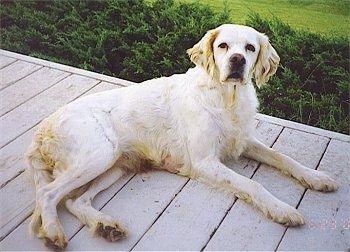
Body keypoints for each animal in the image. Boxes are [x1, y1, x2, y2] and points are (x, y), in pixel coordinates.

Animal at [26, 24, 338, 250]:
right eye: (223, 46)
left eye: (250, 47)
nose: (237, 61)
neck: (226, 99)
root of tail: (40, 132)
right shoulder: (204, 161)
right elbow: (252, 184)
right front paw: (282, 209)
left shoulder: (243, 140)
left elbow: (283, 157)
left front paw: (316, 177)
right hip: (100, 154)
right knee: (48, 193)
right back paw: (53, 232)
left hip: (115, 165)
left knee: (74, 201)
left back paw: (106, 226)